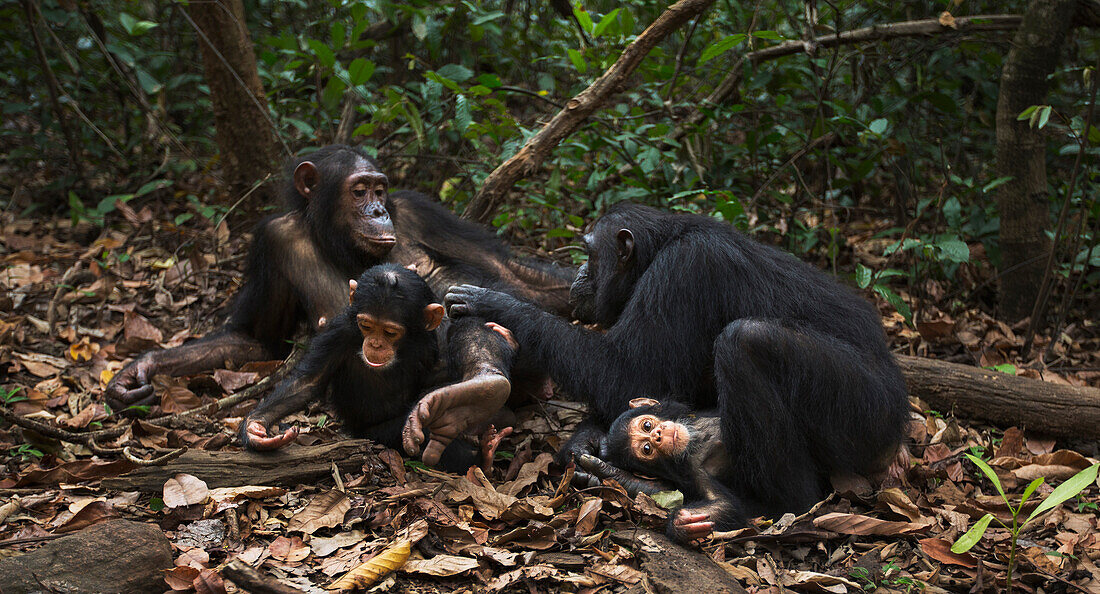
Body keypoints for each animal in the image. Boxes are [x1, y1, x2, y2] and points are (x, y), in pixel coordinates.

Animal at [242, 264, 514, 473]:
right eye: (366, 326)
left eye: (390, 332)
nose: (375, 343)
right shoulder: (339, 333)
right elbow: (308, 382)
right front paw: (255, 429)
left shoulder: (428, 341)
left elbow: (443, 364)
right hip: (374, 433)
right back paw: (478, 451)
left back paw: (484, 391)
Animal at [446, 204, 910, 534]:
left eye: (589, 254)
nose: (576, 272)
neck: (660, 250)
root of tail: (898, 438)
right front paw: (590, 443)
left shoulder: (684, 271)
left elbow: (628, 372)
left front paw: (498, 304)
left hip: (864, 411)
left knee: (746, 341)